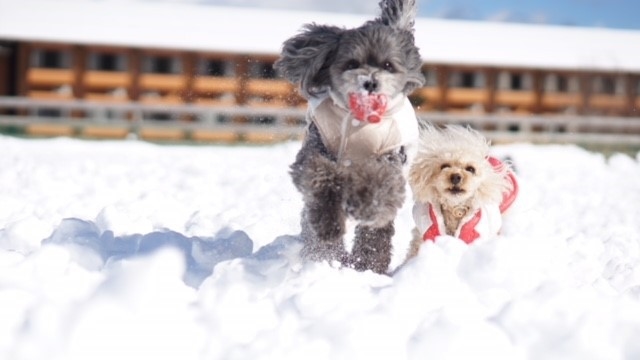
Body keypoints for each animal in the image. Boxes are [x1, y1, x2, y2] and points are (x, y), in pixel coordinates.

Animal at [276, 0, 424, 272]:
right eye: (352, 64)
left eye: (388, 66)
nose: (370, 82)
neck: (359, 120)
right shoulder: (318, 147)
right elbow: (318, 178)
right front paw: (328, 222)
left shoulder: (388, 158)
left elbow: (381, 190)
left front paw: (365, 206)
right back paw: (327, 253)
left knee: (375, 234)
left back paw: (367, 264)